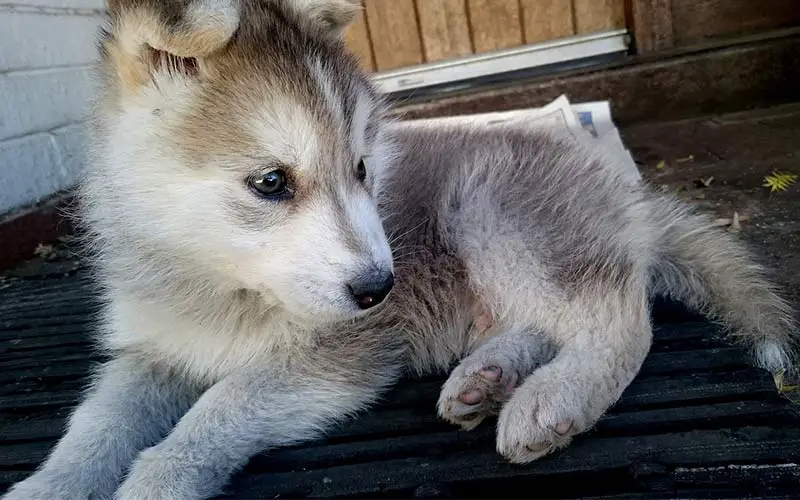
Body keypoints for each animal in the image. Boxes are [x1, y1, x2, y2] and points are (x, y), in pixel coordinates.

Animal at [4, 0, 792, 500]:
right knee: (541, 320)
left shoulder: (336, 356)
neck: (218, 284)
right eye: (271, 182)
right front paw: (49, 485)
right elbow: (94, 423)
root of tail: (624, 191)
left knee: (618, 316)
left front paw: (159, 477)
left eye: (362, 167)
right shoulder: (151, 354)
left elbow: (222, 405)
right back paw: (487, 377)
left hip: (493, 213)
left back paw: (553, 398)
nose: (381, 289)